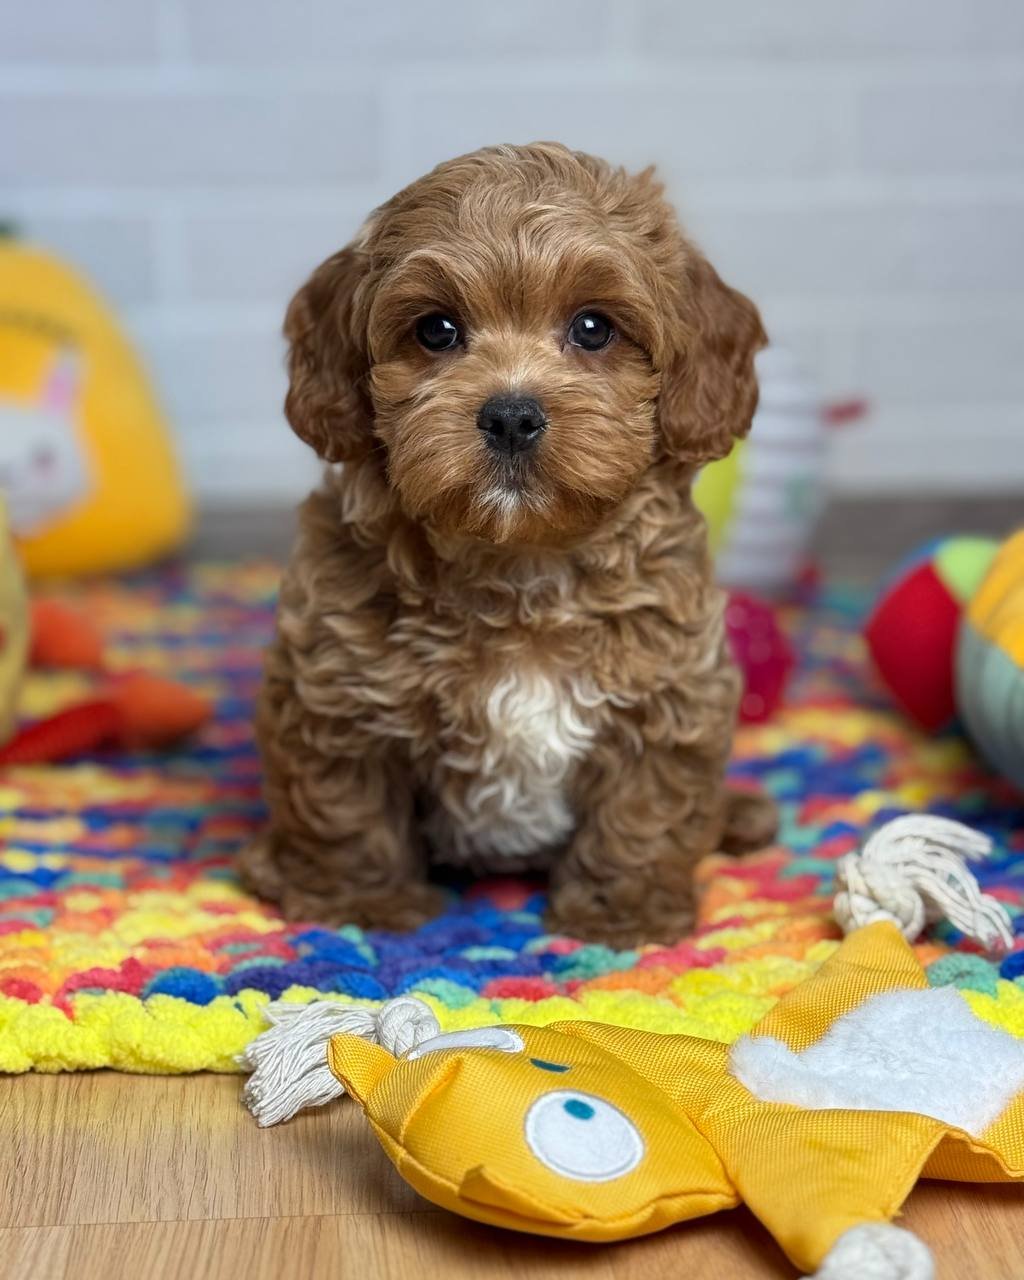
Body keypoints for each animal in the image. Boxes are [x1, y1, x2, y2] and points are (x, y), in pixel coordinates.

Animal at [240, 142, 777, 946]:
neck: (521, 560)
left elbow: (642, 815)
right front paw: (362, 906)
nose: (512, 416)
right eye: (437, 330)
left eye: (593, 328)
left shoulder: (670, 691)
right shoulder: (334, 693)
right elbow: (348, 811)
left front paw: (623, 914)